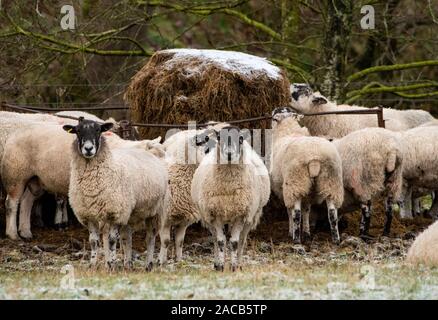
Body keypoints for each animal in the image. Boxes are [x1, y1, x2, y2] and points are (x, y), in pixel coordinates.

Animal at [61, 119, 169, 270]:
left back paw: (149, 264)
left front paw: (111, 265)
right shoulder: (88, 215)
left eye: (98, 130)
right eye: (78, 131)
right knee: (127, 238)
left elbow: (111, 241)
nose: (88, 149)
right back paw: (128, 264)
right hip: (129, 212)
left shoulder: (115, 213)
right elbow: (93, 241)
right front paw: (93, 265)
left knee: (150, 237)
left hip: (155, 211)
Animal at [268, 106, 344, 244]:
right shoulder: (309, 192)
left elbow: (290, 211)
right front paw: (307, 232)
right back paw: (336, 239)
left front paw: (291, 232)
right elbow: (307, 210)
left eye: (273, 118)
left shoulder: (282, 189)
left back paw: (296, 239)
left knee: (296, 213)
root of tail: (314, 157)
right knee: (332, 213)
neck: (288, 131)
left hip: (295, 182)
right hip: (331, 181)